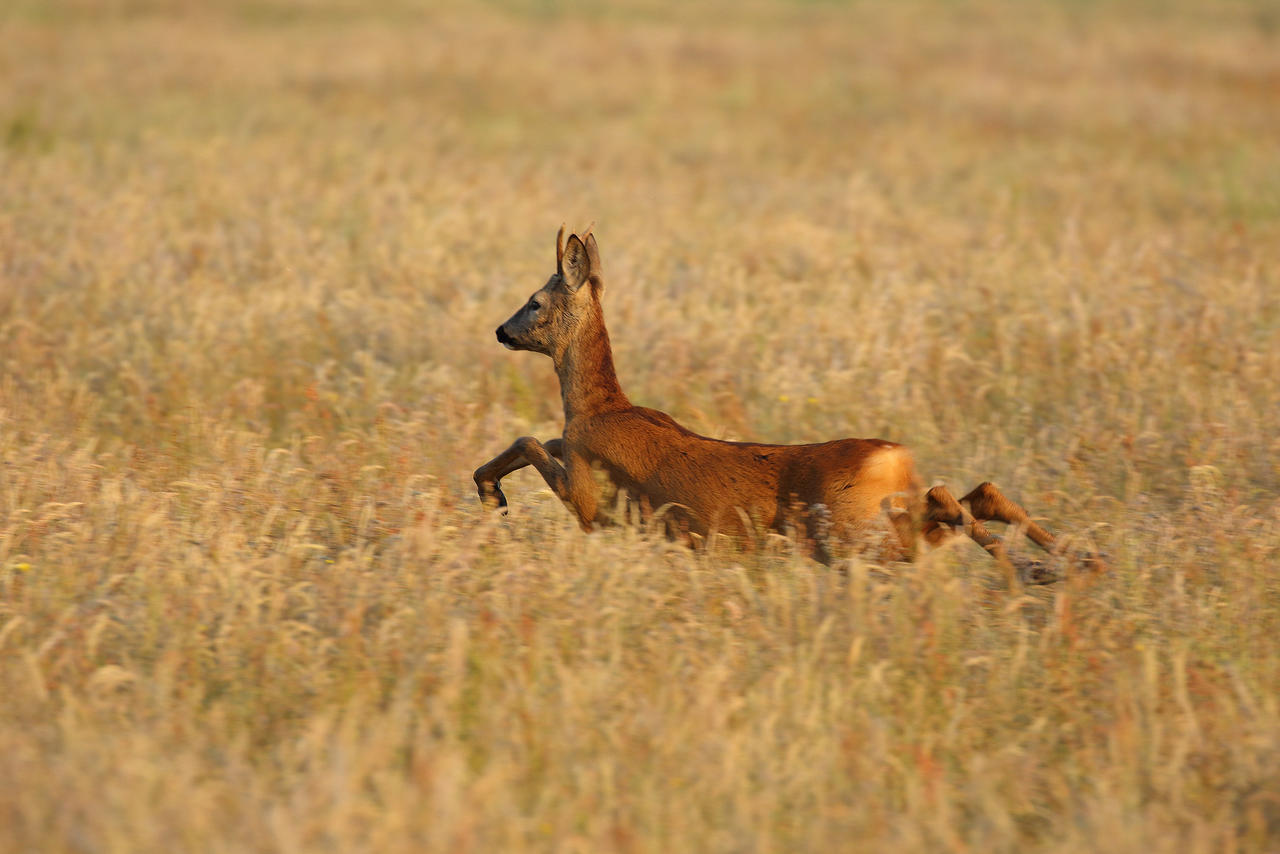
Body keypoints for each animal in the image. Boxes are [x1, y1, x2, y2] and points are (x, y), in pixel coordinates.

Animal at [476, 226, 1105, 583]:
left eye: (534, 302)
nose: (501, 331)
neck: (600, 406)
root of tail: (894, 456)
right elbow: (537, 438)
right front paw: (490, 490)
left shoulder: (591, 504)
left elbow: (532, 438)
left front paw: (489, 494)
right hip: (876, 531)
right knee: (969, 495)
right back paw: (1074, 561)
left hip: (853, 536)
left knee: (949, 503)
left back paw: (1038, 568)